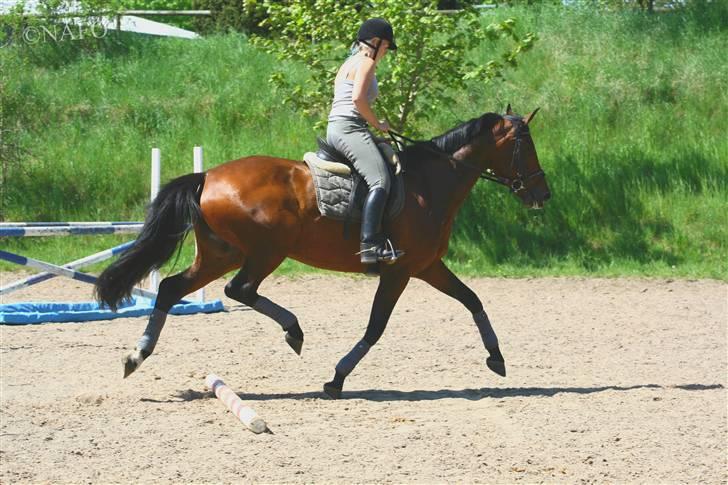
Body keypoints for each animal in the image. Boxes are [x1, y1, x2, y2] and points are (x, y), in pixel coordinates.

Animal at [98, 106, 552, 398]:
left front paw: (497, 358)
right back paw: (293, 330)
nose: (542, 195)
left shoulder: (427, 266)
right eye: (525, 145)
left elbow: (472, 299)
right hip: (266, 250)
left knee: (172, 289)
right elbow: (376, 326)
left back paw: (136, 356)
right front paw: (337, 378)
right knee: (238, 290)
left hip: (220, 254)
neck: (429, 185)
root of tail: (207, 175)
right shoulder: (400, 270)